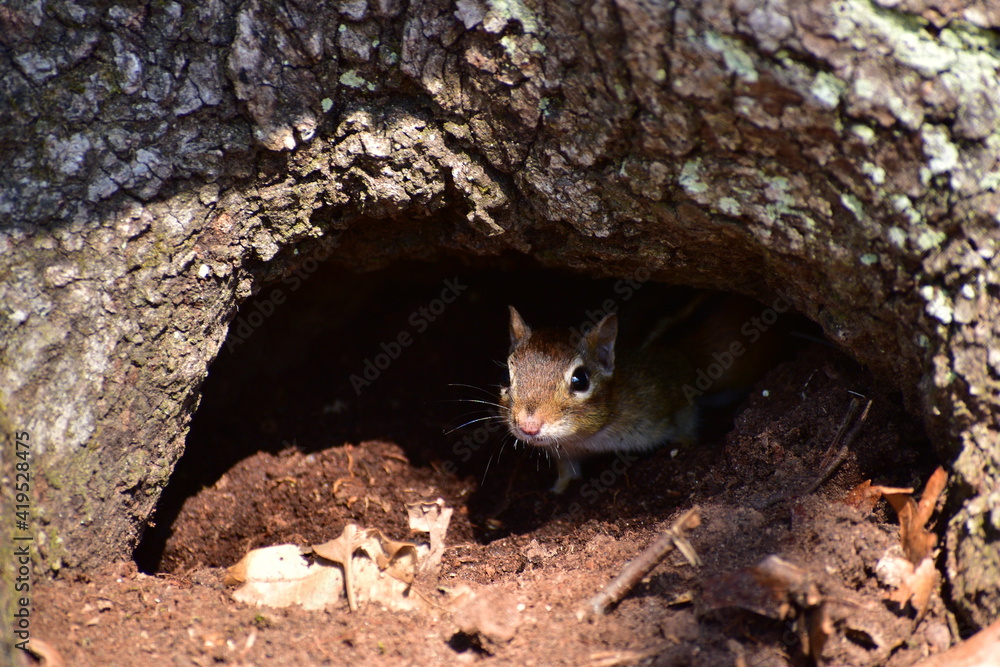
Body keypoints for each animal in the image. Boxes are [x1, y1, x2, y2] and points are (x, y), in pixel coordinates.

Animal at [499, 294, 787, 492]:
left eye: (580, 380)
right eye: (509, 376)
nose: (528, 426)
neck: (589, 438)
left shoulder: (677, 388)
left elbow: (687, 424)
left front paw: (684, 445)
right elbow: (567, 472)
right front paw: (560, 489)